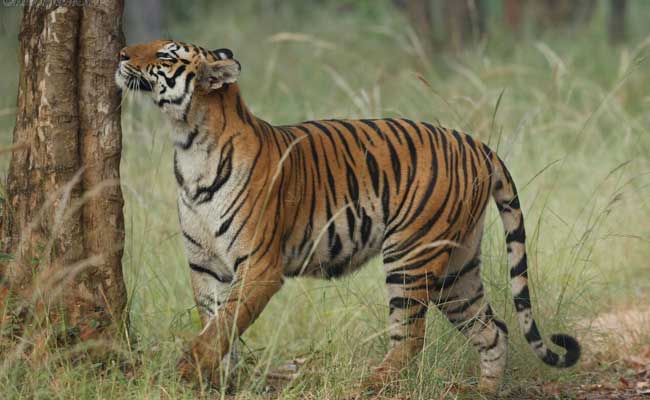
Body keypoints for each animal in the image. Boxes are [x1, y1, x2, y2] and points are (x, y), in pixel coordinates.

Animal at [115, 39, 580, 394]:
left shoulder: (260, 267)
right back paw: (485, 391)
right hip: (458, 266)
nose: (120, 53)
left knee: (410, 339)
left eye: (165, 54)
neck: (189, 143)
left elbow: (223, 325)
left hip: (411, 254)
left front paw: (188, 369)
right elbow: (215, 322)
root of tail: (477, 144)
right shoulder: (205, 265)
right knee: (492, 329)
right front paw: (216, 380)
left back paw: (371, 385)